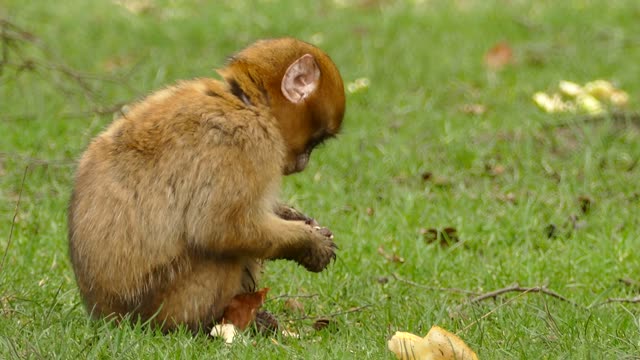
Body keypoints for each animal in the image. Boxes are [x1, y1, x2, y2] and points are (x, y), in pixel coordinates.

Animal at [67, 37, 344, 332]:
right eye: (316, 141)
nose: (303, 163)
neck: (245, 102)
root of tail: (105, 313)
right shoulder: (246, 142)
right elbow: (220, 228)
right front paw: (308, 243)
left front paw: (294, 217)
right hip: (167, 304)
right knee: (222, 252)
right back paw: (216, 322)